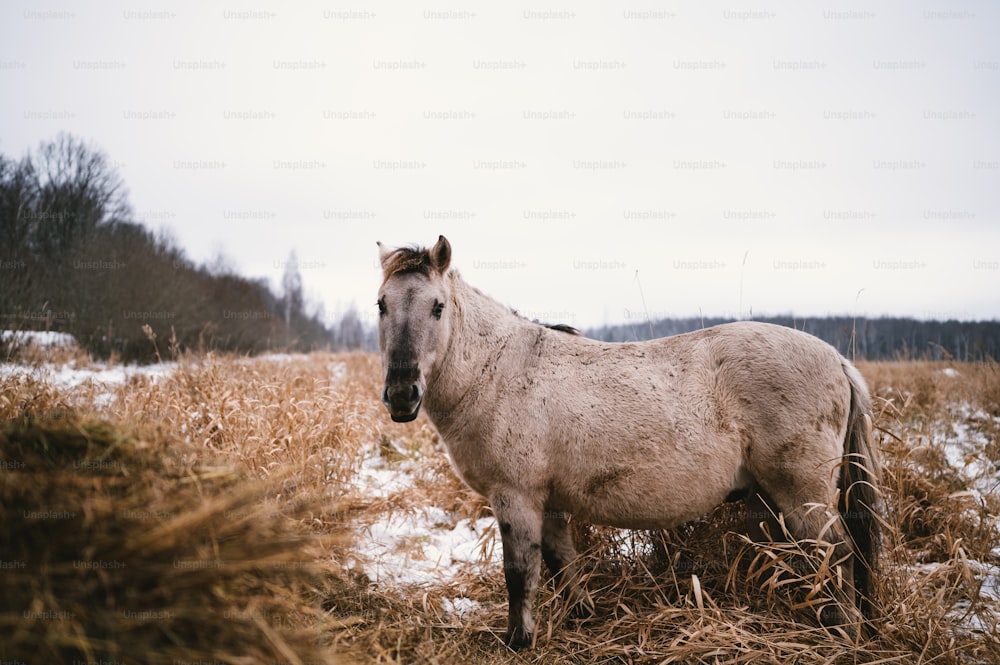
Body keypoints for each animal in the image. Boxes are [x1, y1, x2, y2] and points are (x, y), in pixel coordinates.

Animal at [376, 237, 884, 648]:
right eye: (382, 304)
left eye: (438, 307)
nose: (402, 394)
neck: (498, 370)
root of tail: (837, 359)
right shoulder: (548, 502)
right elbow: (562, 563)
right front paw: (581, 615)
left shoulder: (515, 497)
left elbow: (520, 574)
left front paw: (518, 641)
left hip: (803, 495)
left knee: (837, 553)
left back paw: (843, 632)